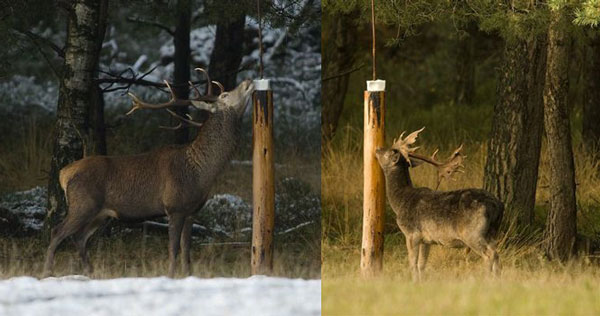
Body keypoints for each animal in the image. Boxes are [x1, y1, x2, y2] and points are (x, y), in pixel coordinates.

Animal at [42, 68, 253, 276]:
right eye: (225, 95)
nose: (248, 81)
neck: (201, 172)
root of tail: (64, 173)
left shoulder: (191, 211)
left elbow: (186, 250)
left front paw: (187, 275)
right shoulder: (174, 207)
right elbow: (173, 249)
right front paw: (170, 275)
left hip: (100, 213)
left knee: (79, 237)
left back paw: (89, 272)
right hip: (83, 204)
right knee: (57, 231)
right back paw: (47, 272)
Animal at [378, 127, 504, 280]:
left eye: (390, 152)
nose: (377, 149)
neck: (400, 201)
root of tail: (498, 206)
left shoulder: (411, 233)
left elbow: (413, 264)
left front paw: (413, 281)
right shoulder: (426, 239)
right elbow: (421, 265)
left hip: (473, 233)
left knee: (489, 254)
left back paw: (487, 279)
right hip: (492, 231)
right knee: (496, 253)